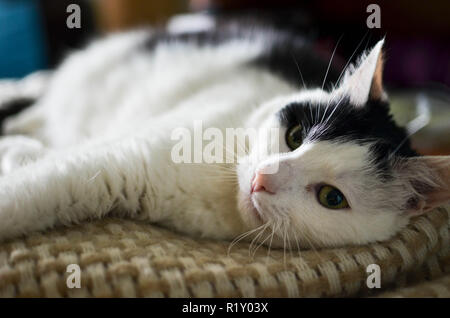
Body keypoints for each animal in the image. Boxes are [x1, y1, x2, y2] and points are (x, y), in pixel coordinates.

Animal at [0, 23, 448, 251]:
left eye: (331, 198)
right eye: (295, 135)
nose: (262, 179)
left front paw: (20, 156)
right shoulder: (114, 158)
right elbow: (31, 189)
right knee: (38, 104)